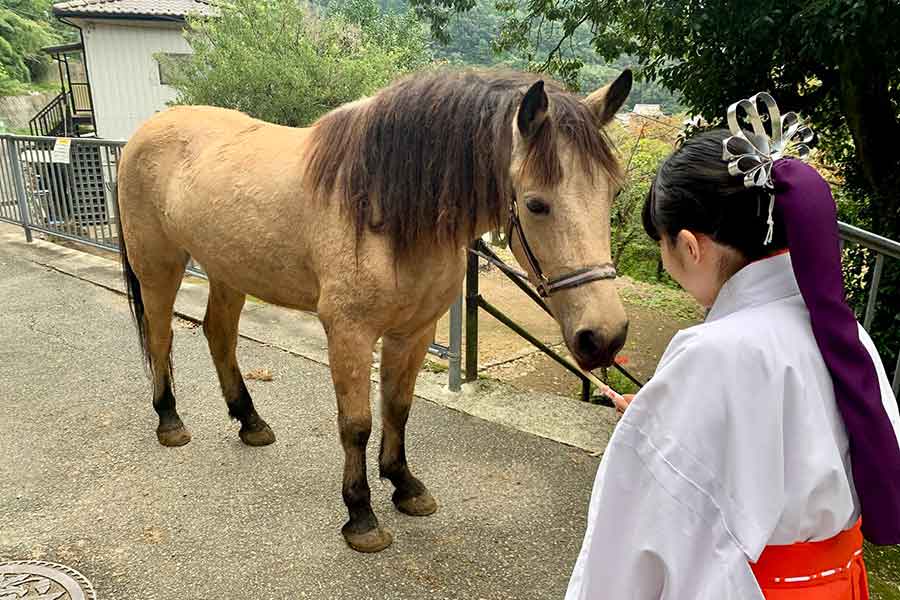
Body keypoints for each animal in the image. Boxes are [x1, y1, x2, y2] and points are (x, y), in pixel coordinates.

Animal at [116, 68, 632, 552]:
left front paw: (404, 485)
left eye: (613, 192)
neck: (386, 205)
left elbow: (397, 408)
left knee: (218, 334)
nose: (604, 336)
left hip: (228, 270)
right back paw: (170, 421)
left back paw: (251, 422)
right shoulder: (350, 333)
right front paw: (360, 515)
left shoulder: (415, 331)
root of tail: (143, 133)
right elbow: (357, 423)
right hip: (159, 266)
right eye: (536, 203)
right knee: (160, 336)